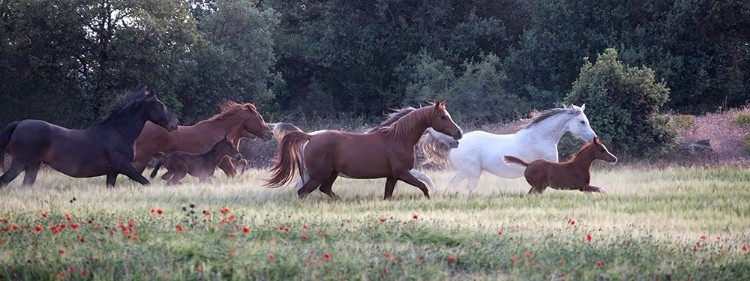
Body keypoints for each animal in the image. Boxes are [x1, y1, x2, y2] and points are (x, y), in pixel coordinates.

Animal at [0, 86, 179, 187]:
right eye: (162, 106)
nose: (175, 124)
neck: (119, 132)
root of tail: (19, 124)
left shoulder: (112, 172)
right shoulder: (124, 166)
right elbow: (146, 182)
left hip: (32, 166)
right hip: (20, 164)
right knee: (4, 181)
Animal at [135, 100, 274, 175]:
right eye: (259, 118)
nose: (270, 133)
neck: (221, 131)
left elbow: (243, 163)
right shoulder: (225, 162)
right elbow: (233, 173)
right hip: (142, 158)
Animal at [264, 100, 464, 199]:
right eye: (443, 117)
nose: (459, 133)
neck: (398, 138)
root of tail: (310, 137)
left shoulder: (392, 176)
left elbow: (388, 195)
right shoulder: (402, 172)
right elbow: (424, 185)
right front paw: (432, 197)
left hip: (329, 174)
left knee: (322, 189)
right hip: (318, 174)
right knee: (302, 191)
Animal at [424, 104, 600, 190]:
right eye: (582, 121)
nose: (594, 138)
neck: (540, 137)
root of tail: (457, 143)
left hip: (465, 172)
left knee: (452, 185)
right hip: (472, 174)